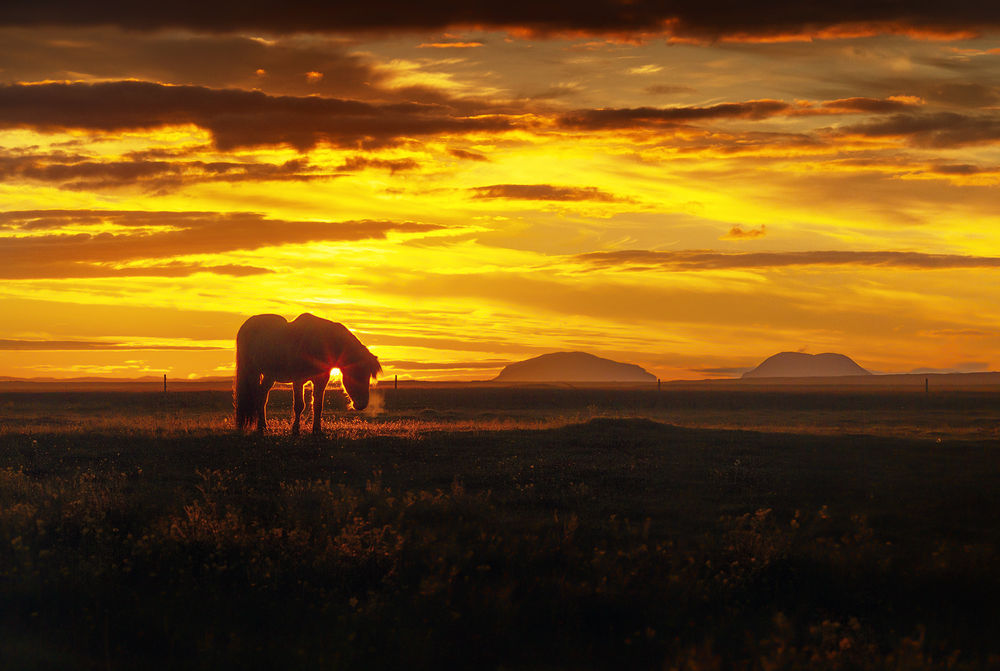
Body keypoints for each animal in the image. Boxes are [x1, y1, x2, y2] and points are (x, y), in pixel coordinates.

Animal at [232, 316, 380, 436]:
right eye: (357, 373)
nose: (362, 404)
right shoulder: (298, 380)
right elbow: (299, 405)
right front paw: (295, 430)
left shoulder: (321, 381)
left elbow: (318, 405)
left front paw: (317, 430)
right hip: (252, 371)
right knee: (257, 396)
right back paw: (259, 428)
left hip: (270, 375)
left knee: (262, 396)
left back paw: (263, 426)